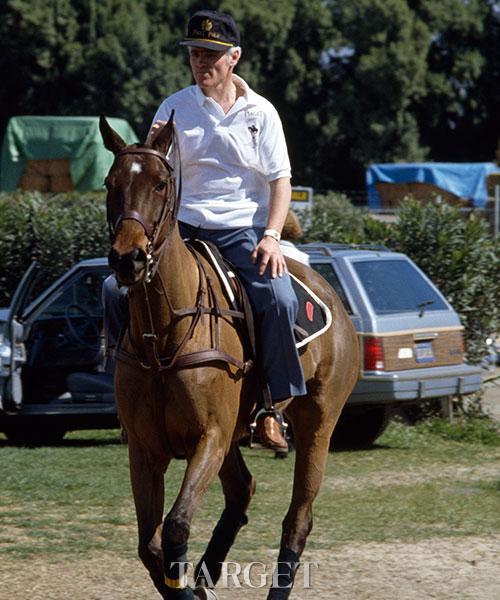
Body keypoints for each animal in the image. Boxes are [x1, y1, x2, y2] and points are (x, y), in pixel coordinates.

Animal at [99, 113, 360, 600]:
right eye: (111, 183)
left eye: (161, 183)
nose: (129, 259)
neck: (163, 336)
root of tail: (329, 289)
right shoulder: (145, 448)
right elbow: (151, 546)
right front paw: (190, 585)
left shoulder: (211, 438)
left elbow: (176, 526)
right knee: (243, 490)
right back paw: (207, 574)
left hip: (318, 423)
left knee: (298, 519)